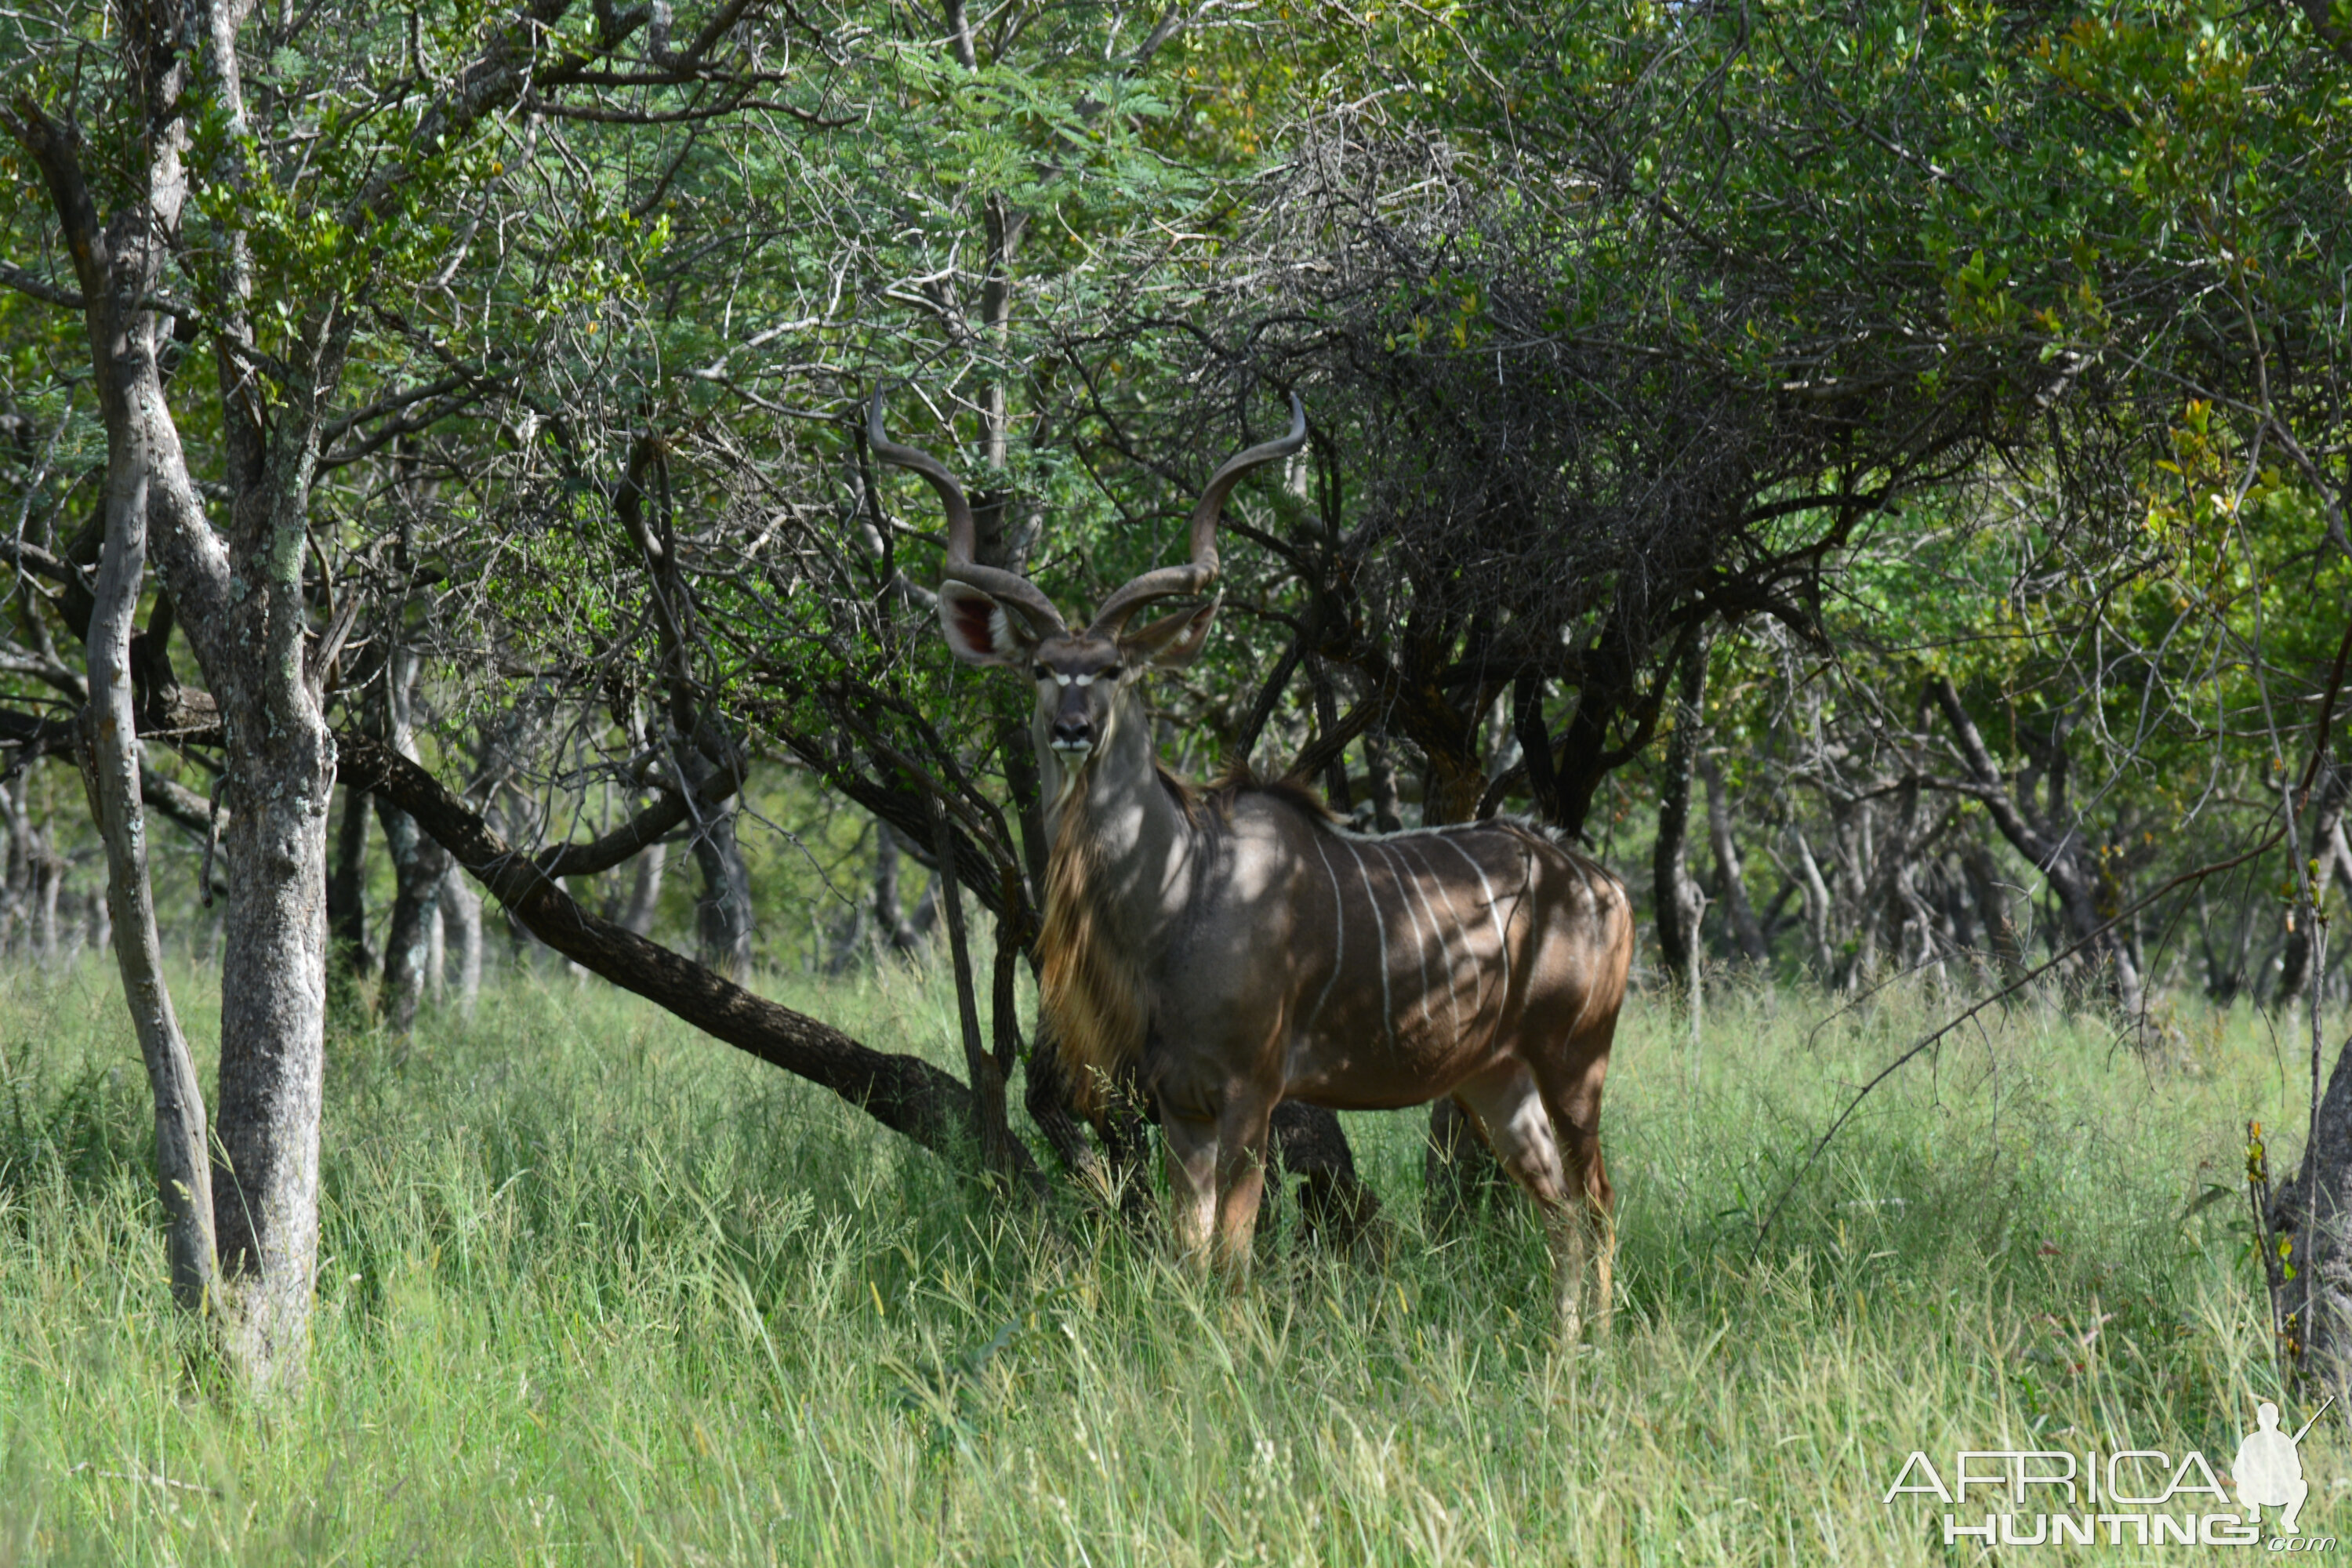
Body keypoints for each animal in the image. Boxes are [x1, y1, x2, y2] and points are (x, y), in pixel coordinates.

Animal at [870, 385, 1637, 1335]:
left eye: (1115, 667)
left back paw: (1596, 1346)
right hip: (1497, 1078)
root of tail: (1604, 884)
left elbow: (1233, 1258)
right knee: (1561, 1206)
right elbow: (1187, 1249)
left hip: (1575, 1060)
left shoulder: (1251, 1093)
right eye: (1044, 667)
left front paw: (1235, 1349)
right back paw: (1565, 1345)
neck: (1180, 895)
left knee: (1599, 1200)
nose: (1073, 727)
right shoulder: (1180, 1105)